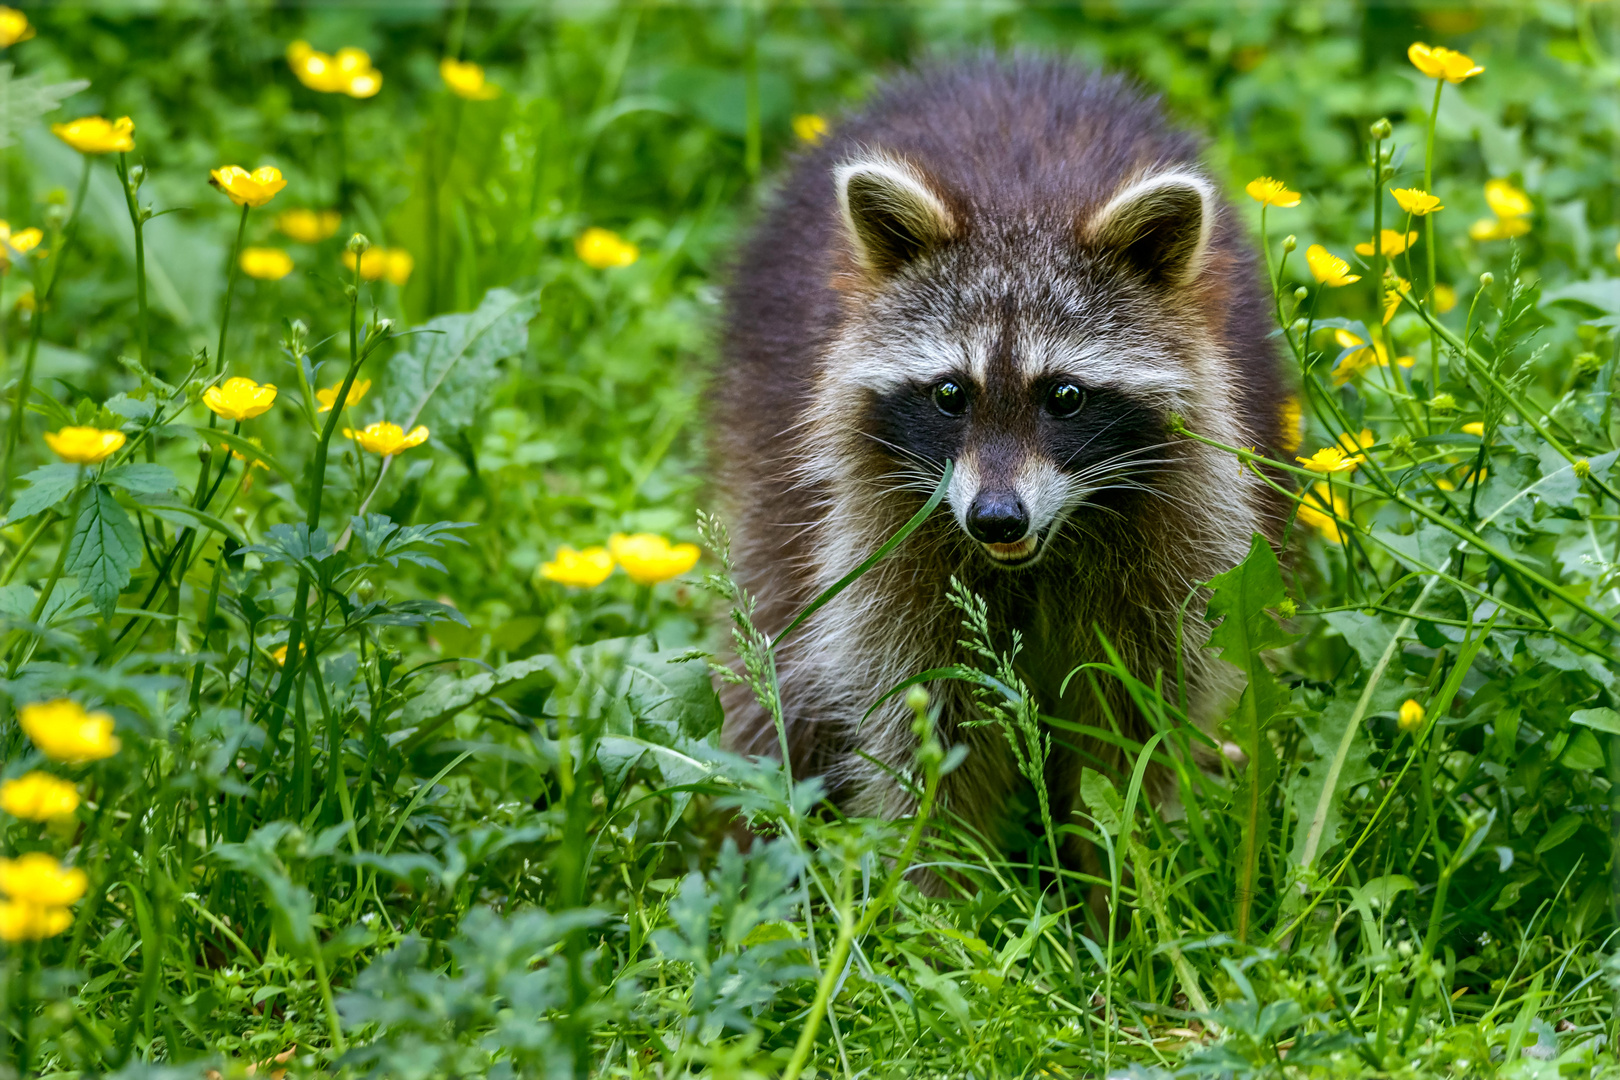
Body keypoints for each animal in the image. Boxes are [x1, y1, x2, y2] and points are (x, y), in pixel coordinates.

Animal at [709, 57, 1289, 854]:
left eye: (1066, 396)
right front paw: (936, 871)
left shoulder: (1179, 540)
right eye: (951, 393)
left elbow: (1133, 726)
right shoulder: (887, 545)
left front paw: (1114, 869)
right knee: (774, 637)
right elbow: (924, 728)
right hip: (763, 451)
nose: (996, 518)